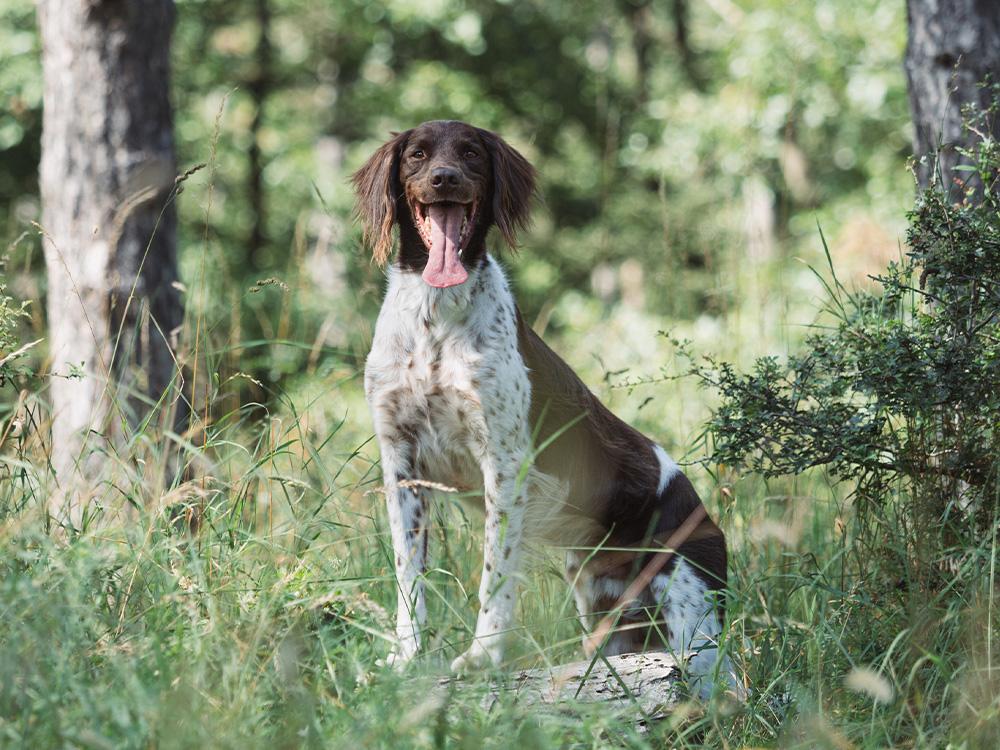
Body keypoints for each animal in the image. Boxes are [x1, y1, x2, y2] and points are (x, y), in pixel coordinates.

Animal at [356, 119, 732, 700]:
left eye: (471, 153)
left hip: (692, 611)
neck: (434, 321)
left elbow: (495, 575)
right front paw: (407, 657)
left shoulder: (505, 464)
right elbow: (408, 576)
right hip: (605, 612)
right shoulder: (402, 465)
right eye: (417, 155)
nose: (445, 178)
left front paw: (482, 656)